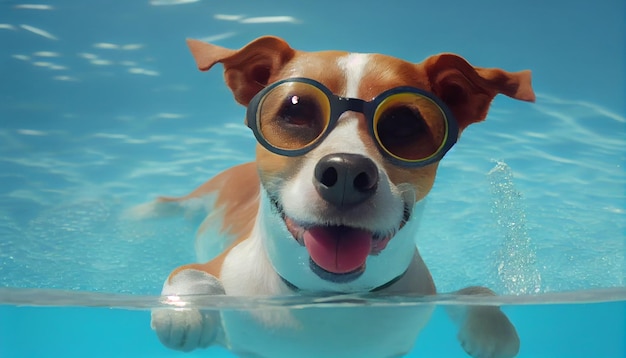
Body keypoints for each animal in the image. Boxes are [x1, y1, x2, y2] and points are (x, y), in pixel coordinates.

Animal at [146, 37, 532, 358]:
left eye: (404, 122)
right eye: (295, 109)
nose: (346, 172)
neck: (329, 299)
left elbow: (476, 291)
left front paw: (492, 329)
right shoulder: (221, 275)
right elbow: (191, 274)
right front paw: (184, 312)